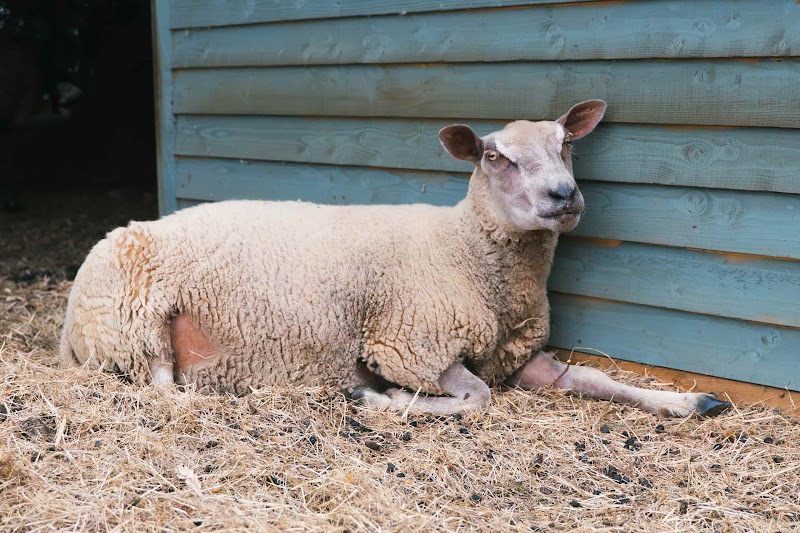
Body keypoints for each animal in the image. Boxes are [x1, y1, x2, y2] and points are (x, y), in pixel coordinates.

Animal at [60, 100, 730, 418]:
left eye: (566, 144)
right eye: (494, 157)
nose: (563, 196)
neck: (465, 253)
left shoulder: (517, 355)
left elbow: (590, 378)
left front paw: (691, 402)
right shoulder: (407, 345)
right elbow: (475, 400)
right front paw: (379, 400)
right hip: (136, 329)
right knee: (165, 391)